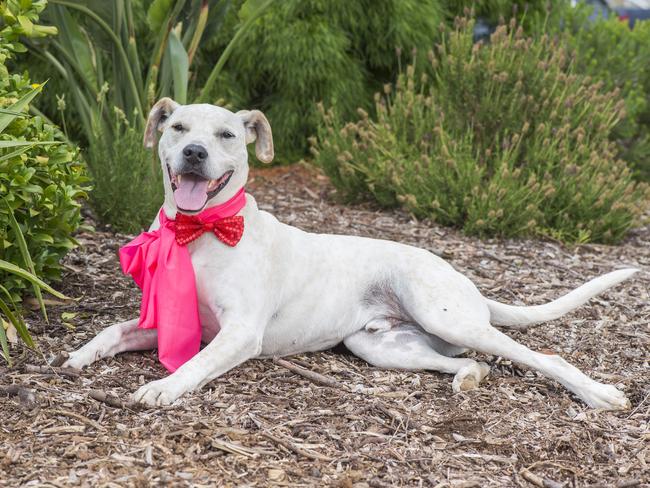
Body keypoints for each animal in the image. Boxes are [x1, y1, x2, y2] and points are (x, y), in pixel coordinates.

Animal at [64, 98, 632, 408]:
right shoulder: (169, 319)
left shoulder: (240, 332)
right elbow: (111, 330)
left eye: (226, 134)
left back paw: (600, 395)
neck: (199, 231)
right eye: (178, 127)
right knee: (469, 362)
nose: (194, 152)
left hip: (444, 316)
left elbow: (194, 364)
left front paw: (164, 387)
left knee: (541, 356)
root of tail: (461, 277)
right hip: (380, 346)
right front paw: (78, 357)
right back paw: (470, 377)